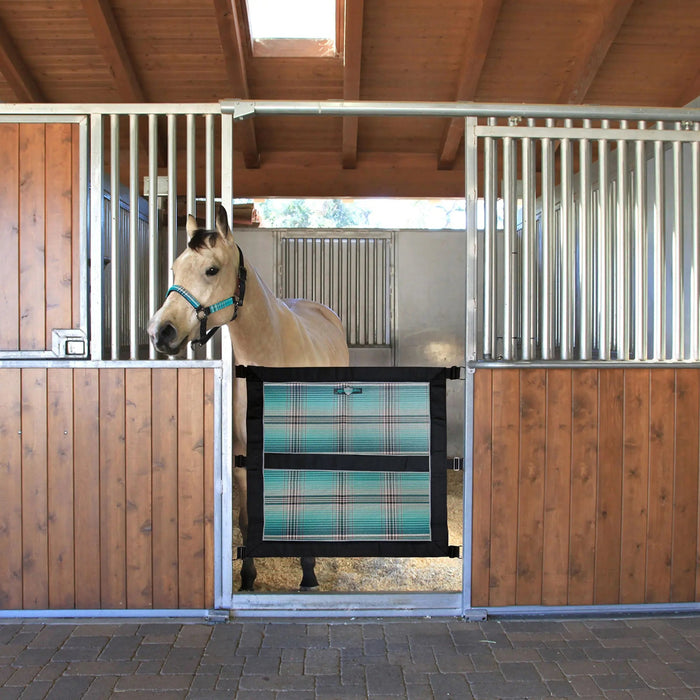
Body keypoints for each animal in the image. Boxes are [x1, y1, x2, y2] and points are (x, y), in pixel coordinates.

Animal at [147, 206, 350, 590]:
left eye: (211, 269)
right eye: (175, 268)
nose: (159, 332)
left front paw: (308, 573)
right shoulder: (244, 454)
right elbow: (245, 518)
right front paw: (247, 578)